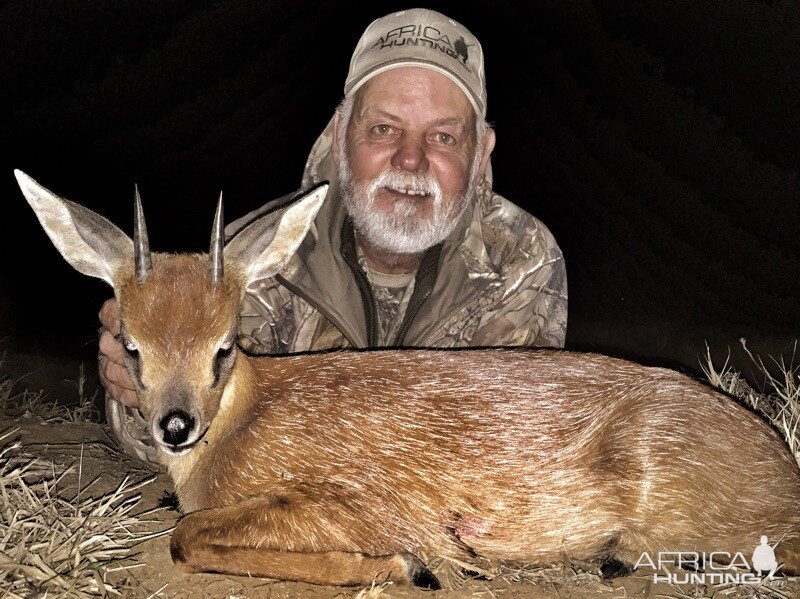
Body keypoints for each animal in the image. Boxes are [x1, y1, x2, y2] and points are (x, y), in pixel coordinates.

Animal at [15, 170, 800, 592]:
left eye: (224, 348)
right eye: (131, 347)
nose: (175, 425)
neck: (241, 423)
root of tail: (782, 462)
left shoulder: (355, 499)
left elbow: (188, 535)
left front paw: (403, 565)